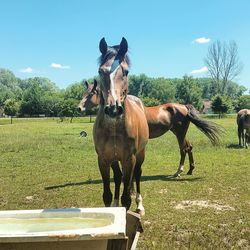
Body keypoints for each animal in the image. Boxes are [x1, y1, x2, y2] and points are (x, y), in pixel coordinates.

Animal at [78, 81, 223, 177]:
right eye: (85, 92)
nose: (79, 108)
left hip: (180, 133)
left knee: (183, 149)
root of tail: (184, 107)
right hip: (179, 132)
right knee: (189, 147)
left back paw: (178, 172)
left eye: (92, 93)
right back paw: (190, 170)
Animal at [93, 37, 148, 215]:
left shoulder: (129, 159)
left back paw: (140, 205)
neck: (114, 128)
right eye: (100, 71)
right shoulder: (103, 159)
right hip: (115, 159)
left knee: (137, 175)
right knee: (118, 178)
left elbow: (126, 198)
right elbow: (107, 195)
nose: (113, 109)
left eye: (126, 71)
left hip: (140, 154)